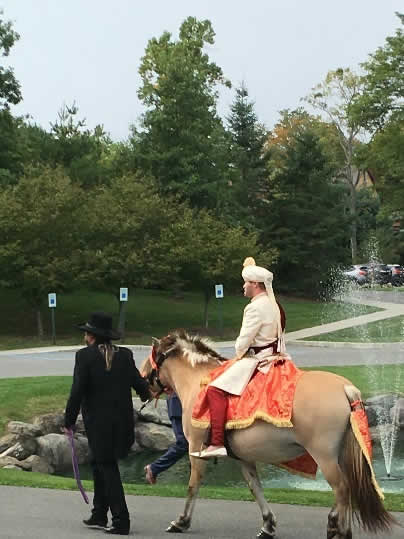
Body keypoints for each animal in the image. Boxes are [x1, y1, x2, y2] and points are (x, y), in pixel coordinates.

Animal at [141, 330, 394, 539]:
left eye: (150, 359)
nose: (143, 385)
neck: (197, 380)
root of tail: (345, 388)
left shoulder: (195, 448)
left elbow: (193, 486)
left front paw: (181, 521)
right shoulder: (243, 457)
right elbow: (255, 488)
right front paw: (268, 525)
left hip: (325, 455)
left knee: (342, 488)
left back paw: (337, 527)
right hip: (341, 453)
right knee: (348, 489)